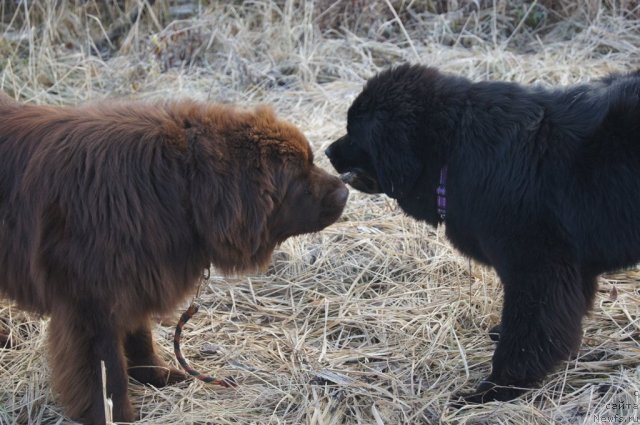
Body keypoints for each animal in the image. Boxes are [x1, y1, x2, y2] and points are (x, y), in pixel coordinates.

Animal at [0, 94, 344, 422]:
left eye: (311, 161)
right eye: (298, 177)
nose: (344, 192)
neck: (178, 186)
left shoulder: (136, 278)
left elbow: (139, 336)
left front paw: (155, 375)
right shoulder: (89, 309)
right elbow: (106, 373)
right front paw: (115, 416)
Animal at [328, 64, 640, 402]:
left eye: (355, 133)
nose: (327, 150)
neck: (452, 152)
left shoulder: (537, 269)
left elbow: (528, 332)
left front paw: (496, 388)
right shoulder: (569, 269)